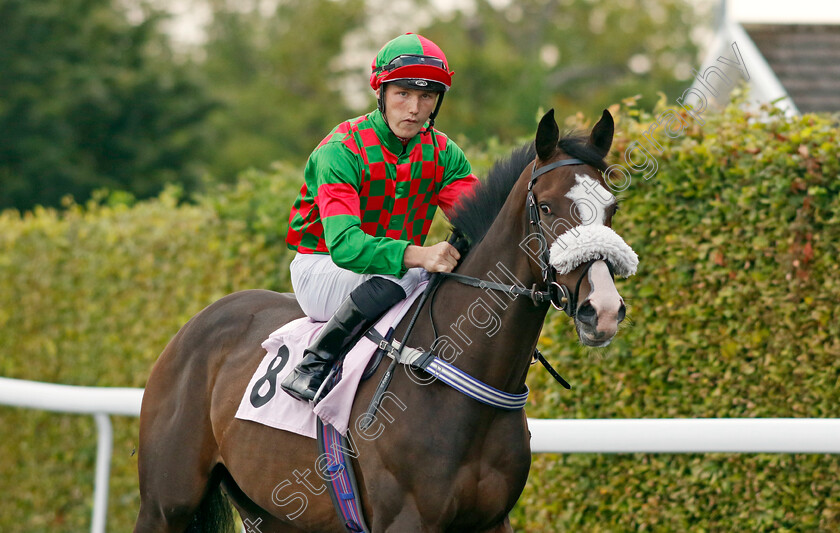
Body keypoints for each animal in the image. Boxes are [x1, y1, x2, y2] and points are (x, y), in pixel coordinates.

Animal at [136, 106, 636, 528]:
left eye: (611, 207)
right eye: (547, 207)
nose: (603, 310)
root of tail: (193, 326)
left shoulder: (492, 521)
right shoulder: (407, 520)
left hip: (272, 513)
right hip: (165, 504)